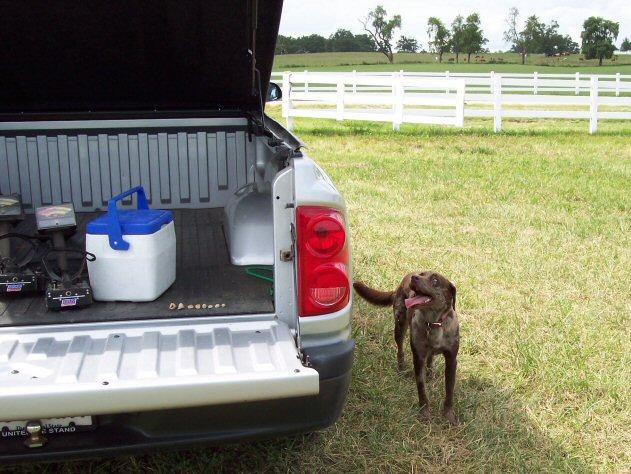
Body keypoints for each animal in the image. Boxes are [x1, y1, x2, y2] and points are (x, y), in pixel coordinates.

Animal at [356, 272, 460, 424]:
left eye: (435, 280)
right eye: (422, 274)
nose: (415, 277)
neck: (434, 323)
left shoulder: (451, 360)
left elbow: (449, 391)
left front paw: (448, 415)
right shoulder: (418, 358)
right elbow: (421, 388)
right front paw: (424, 412)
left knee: (430, 358)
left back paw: (430, 374)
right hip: (400, 325)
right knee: (400, 350)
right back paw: (401, 369)